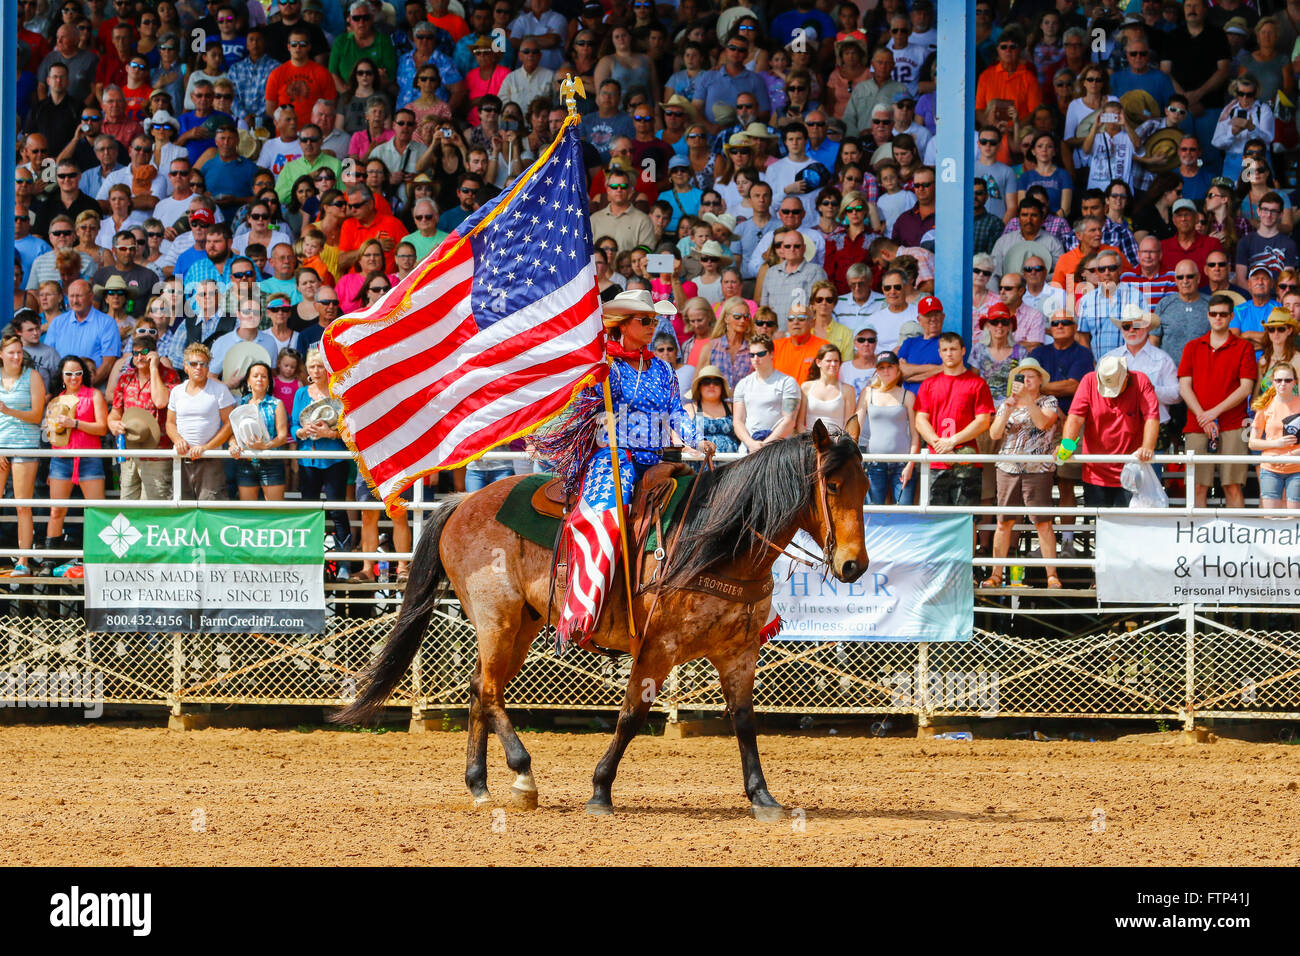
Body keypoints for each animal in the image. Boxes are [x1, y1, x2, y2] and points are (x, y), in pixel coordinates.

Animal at [334, 419, 868, 820]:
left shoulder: (740, 652)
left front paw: (762, 797)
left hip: (523, 625)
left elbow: (743, 721)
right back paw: (522, 774)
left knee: (479, 689)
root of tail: (462, 501)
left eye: (864, 486)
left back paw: (480, 784)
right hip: (496, 617)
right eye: (832, 484)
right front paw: (600, 790)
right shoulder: (657, 648)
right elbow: (631, 716)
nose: (853, 566)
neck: (715, 543)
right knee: (487, 689)